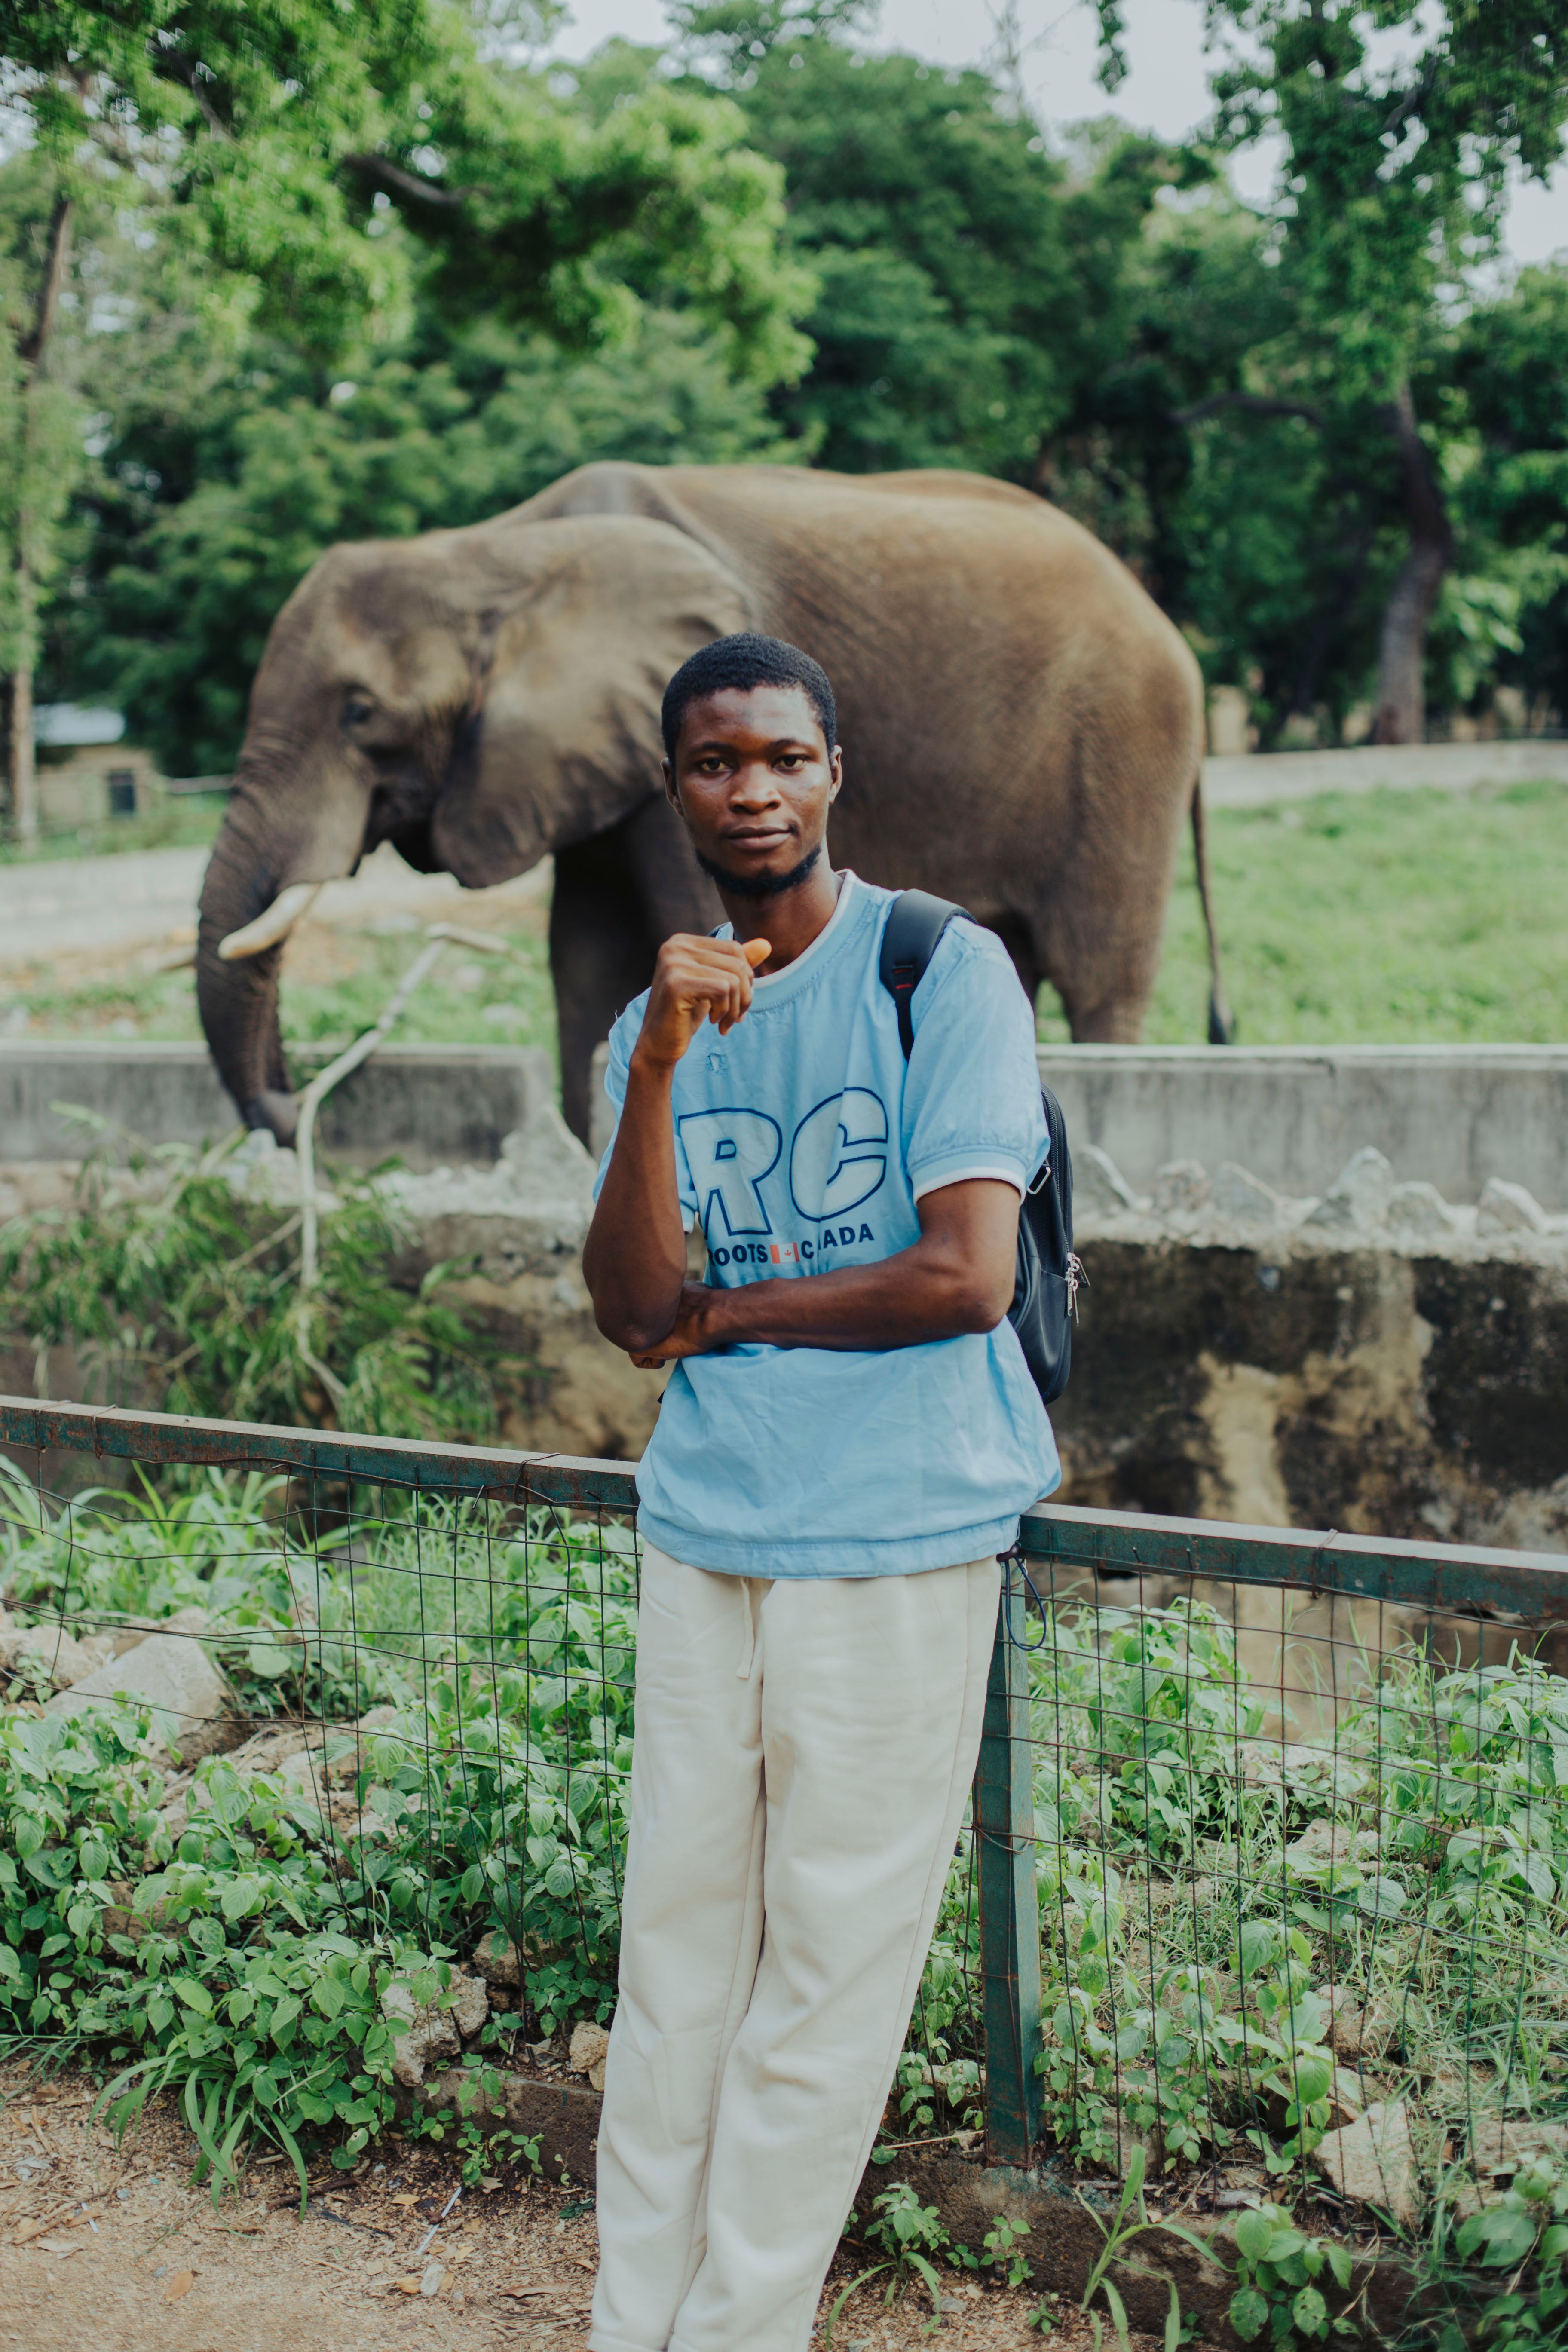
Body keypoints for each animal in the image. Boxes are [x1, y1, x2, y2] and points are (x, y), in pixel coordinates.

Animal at [197, 461, 1228, 1147]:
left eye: (360, 713)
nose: (292, 1110)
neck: (496, 551)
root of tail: (1164, 624)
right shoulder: (592, 764)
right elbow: (584, 957)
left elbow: (671, 918)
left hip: (1124, 744)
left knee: (1099, 973)